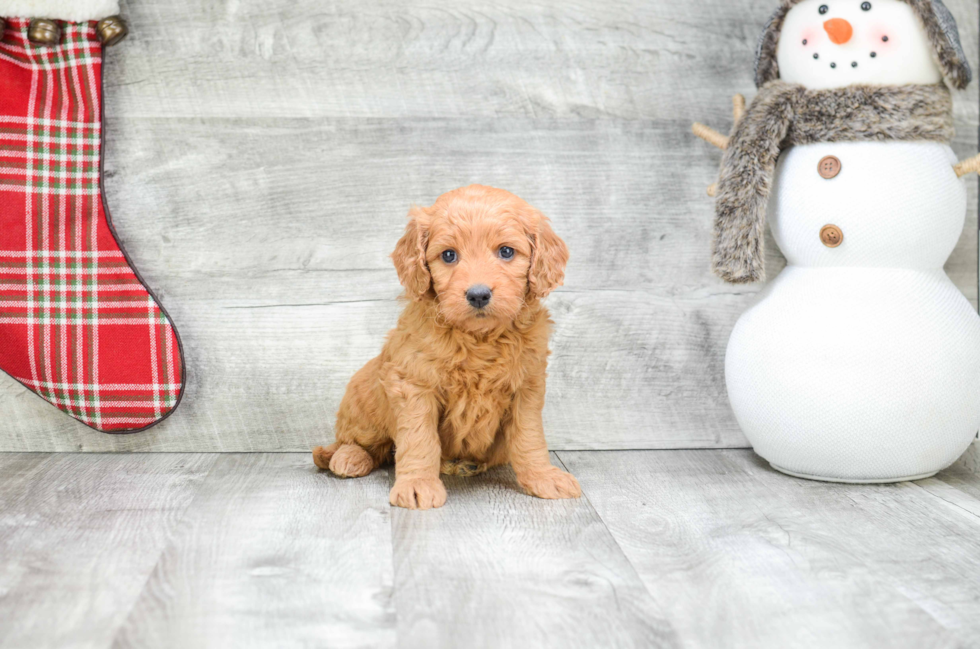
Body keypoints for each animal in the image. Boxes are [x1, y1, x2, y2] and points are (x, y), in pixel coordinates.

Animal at [310, 185, 580, 508]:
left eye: (506, 251)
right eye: (449, 255)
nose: (478, 295)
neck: (478, 338)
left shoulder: (526, 387)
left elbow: (529, 437)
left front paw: (543, 477)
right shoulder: (414, 384)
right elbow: (419, 438)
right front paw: (417, 484)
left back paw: (464, 464)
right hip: (364, 398)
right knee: (358, 442)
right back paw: (349, 457)